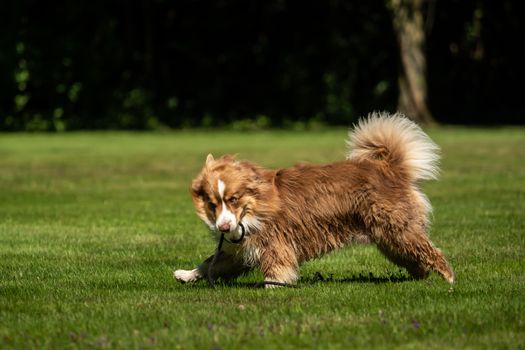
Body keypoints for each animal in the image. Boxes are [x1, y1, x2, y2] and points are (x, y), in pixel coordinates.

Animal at [174, 113, 452, 288]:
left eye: (233, 199)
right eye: (213, 203)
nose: (223, 227)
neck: (256, 207)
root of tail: (390, 169)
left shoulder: (275, 244)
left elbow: (275, 270)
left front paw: (273, 287)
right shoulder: (241, 251)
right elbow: (210, 263)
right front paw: (186, 275)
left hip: (398, 231)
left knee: (431, 252)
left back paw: (449, 281)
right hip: (388, 239)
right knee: (415, 260)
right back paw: (418, 278)